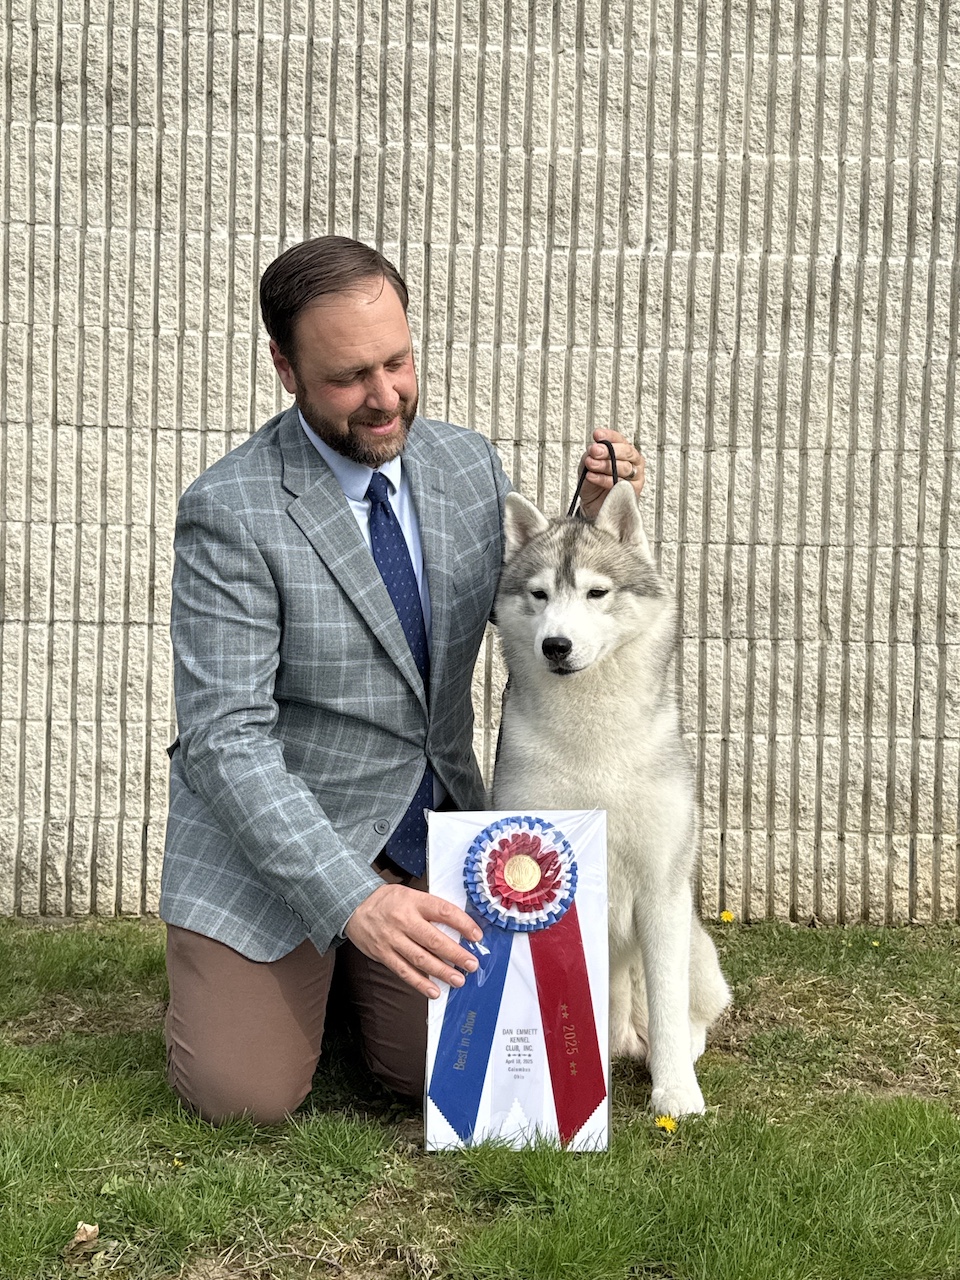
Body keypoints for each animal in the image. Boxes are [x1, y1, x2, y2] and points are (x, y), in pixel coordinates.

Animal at [491, 481, 731, 1118]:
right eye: (539, 594)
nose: (555, 645)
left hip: (698, 950)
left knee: (688, 1010)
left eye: (597, 592)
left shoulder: (661, 890)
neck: (592, 743)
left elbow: (668, 1007)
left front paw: (676, 1094)